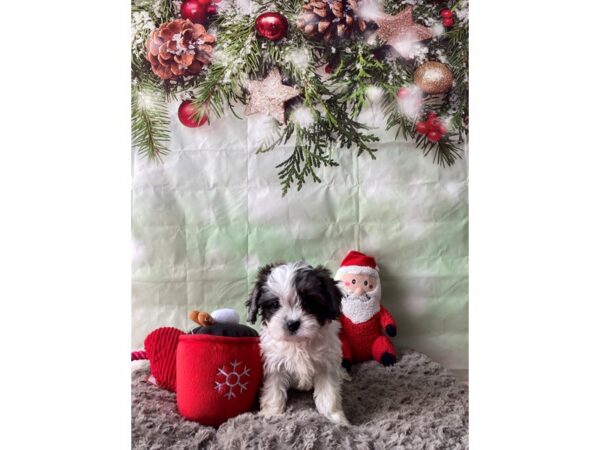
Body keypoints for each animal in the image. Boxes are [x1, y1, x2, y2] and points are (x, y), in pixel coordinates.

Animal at [246, 262, 350, 424]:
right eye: (275, 304)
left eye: (308, 303)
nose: (292, 324)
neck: (298, 343)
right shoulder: (274, 365)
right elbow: (273, 390)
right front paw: (271, 414)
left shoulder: (327, 365)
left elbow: (329, 394)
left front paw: (335, 418)